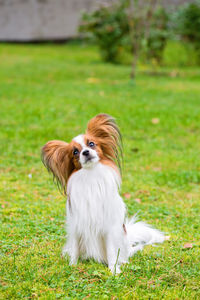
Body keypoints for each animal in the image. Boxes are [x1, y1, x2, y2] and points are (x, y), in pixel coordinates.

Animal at [41, 113, 165, 274]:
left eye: (91, 144)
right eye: (75, 152)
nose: (85, 152)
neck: (91, 175)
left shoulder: (109, 227)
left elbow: (112, 251)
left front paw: (113, 270)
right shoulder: (76, 225)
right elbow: (74, 249)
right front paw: (72, 266)